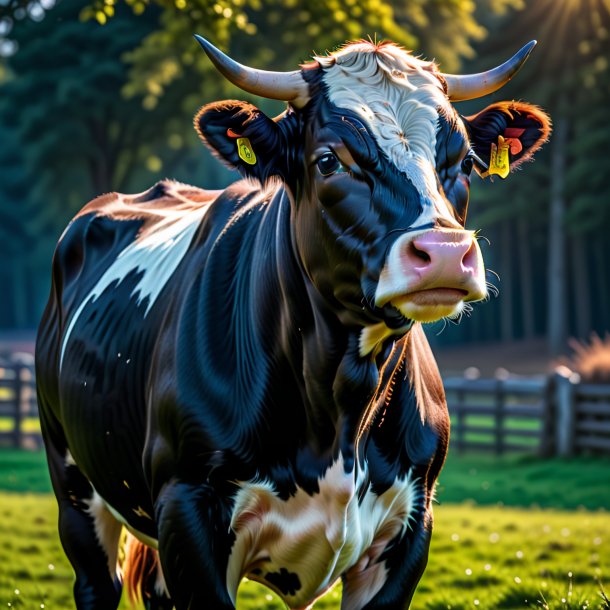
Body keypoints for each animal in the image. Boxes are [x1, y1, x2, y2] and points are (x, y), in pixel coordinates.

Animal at [36, 38, 552, 608]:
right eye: (329, 159)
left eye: (464, 162)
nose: (443, 252)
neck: (340, 406)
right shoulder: (188, 510)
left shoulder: (412, 525)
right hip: (73, 481)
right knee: (95, 581)